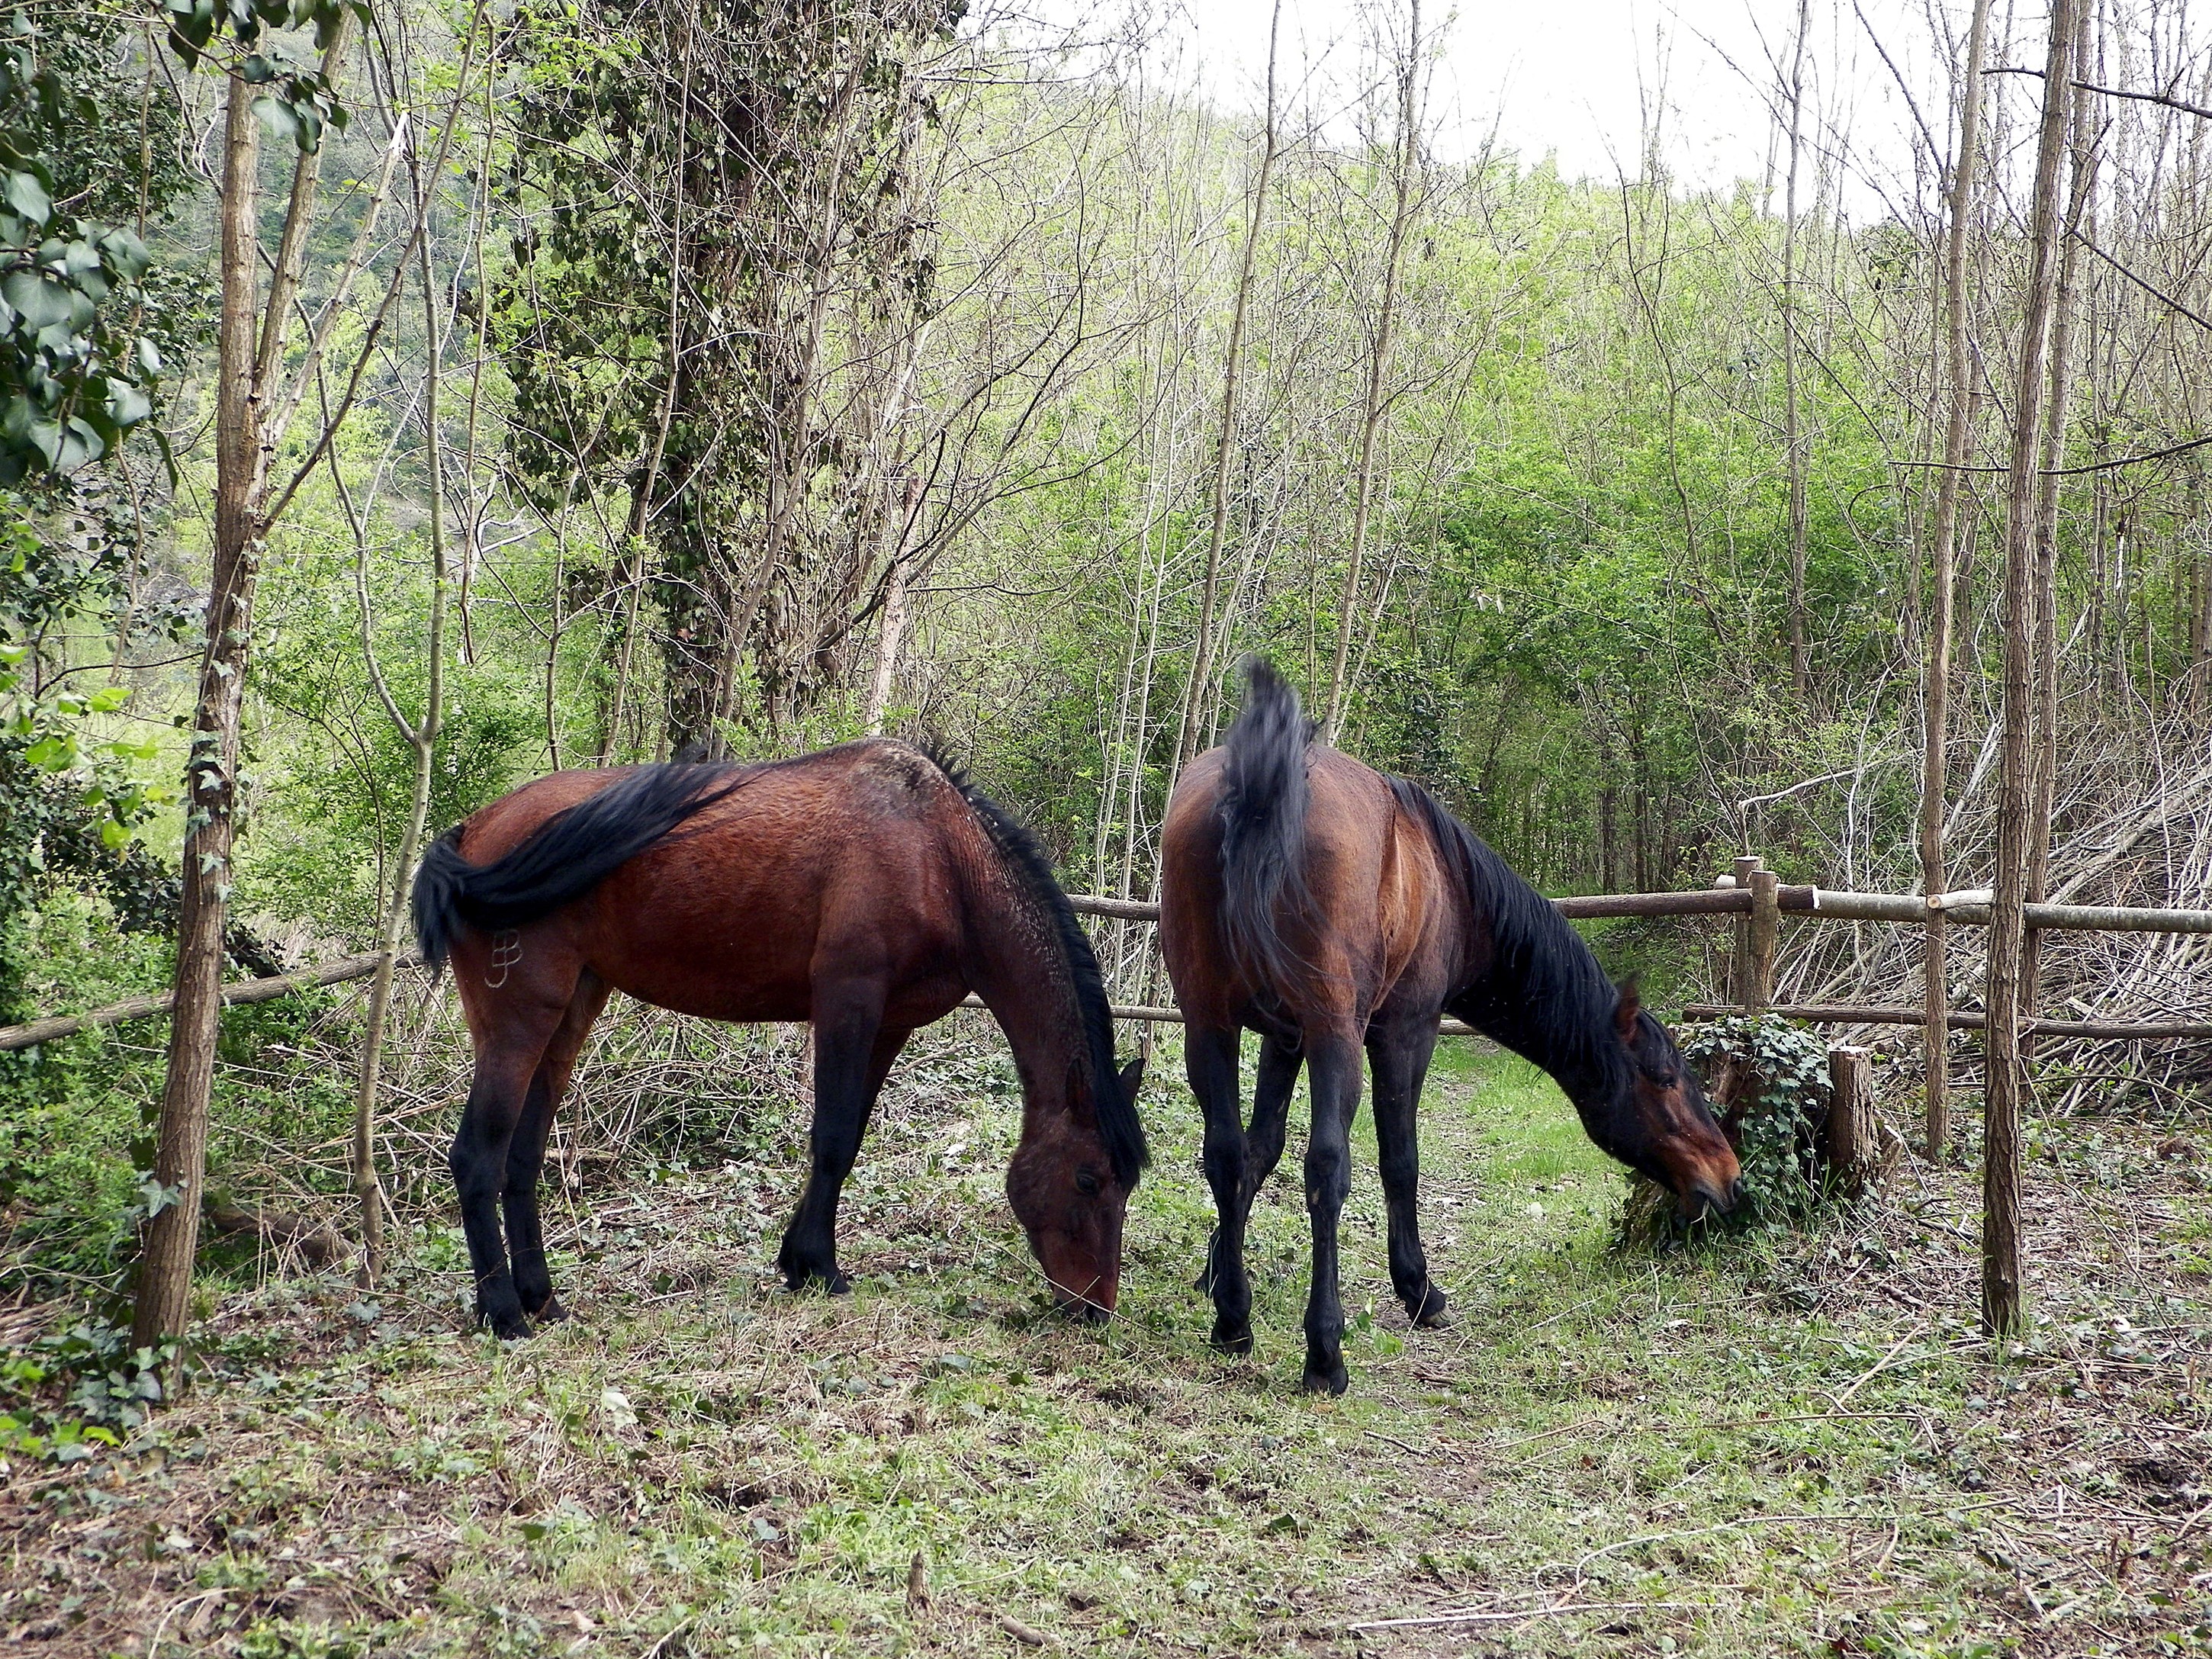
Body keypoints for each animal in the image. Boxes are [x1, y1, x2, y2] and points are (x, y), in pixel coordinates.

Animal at [410, 739, 1148, 1338]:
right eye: (1088, 1178)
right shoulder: (848, 1001)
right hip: (519, 1024)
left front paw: (800, 1258)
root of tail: (472, 832)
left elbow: (848, 1139)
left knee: (521, 1158)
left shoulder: (890, 1022)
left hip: (568, 1016)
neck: (940, 855)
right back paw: (503, 1313)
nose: (1095, 1307)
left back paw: (543, 1299)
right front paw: (819, 1266)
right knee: (476, 1155)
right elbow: (832, 1137)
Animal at [1159, 660, 1740, 1394]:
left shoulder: (1280, 1038)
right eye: (1665, 1079)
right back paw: (1325, 1352)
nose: (1729, 1176)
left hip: (1210, 1025)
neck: (1450, 880)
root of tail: (1261, 784)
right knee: (1328, 1167)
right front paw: (1417, 1288)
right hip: (1334, 1038)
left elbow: (1258, 1152)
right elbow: (1398, 1160)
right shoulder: (1405, 1032)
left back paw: (1234, 1323)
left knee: (1225, 1152)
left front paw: (1219, 1273)